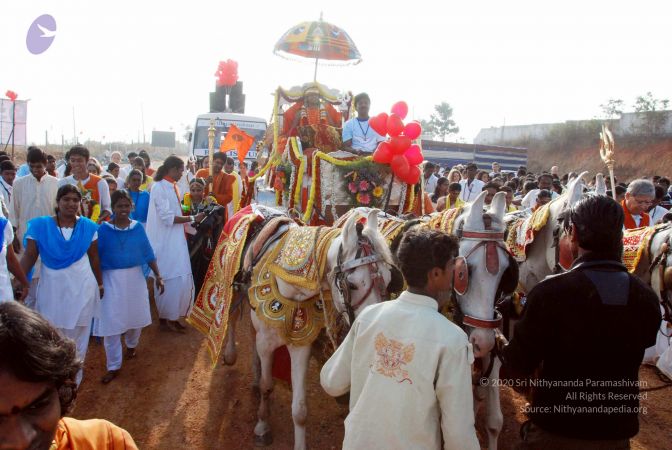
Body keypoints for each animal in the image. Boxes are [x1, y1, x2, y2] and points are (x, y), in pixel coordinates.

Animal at [251, 209, 394, 448]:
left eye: (390, 279)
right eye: (352, 284)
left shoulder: (301, 346)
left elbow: (299, 409)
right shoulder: (265, 343)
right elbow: (266, 384)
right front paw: (262, 425)